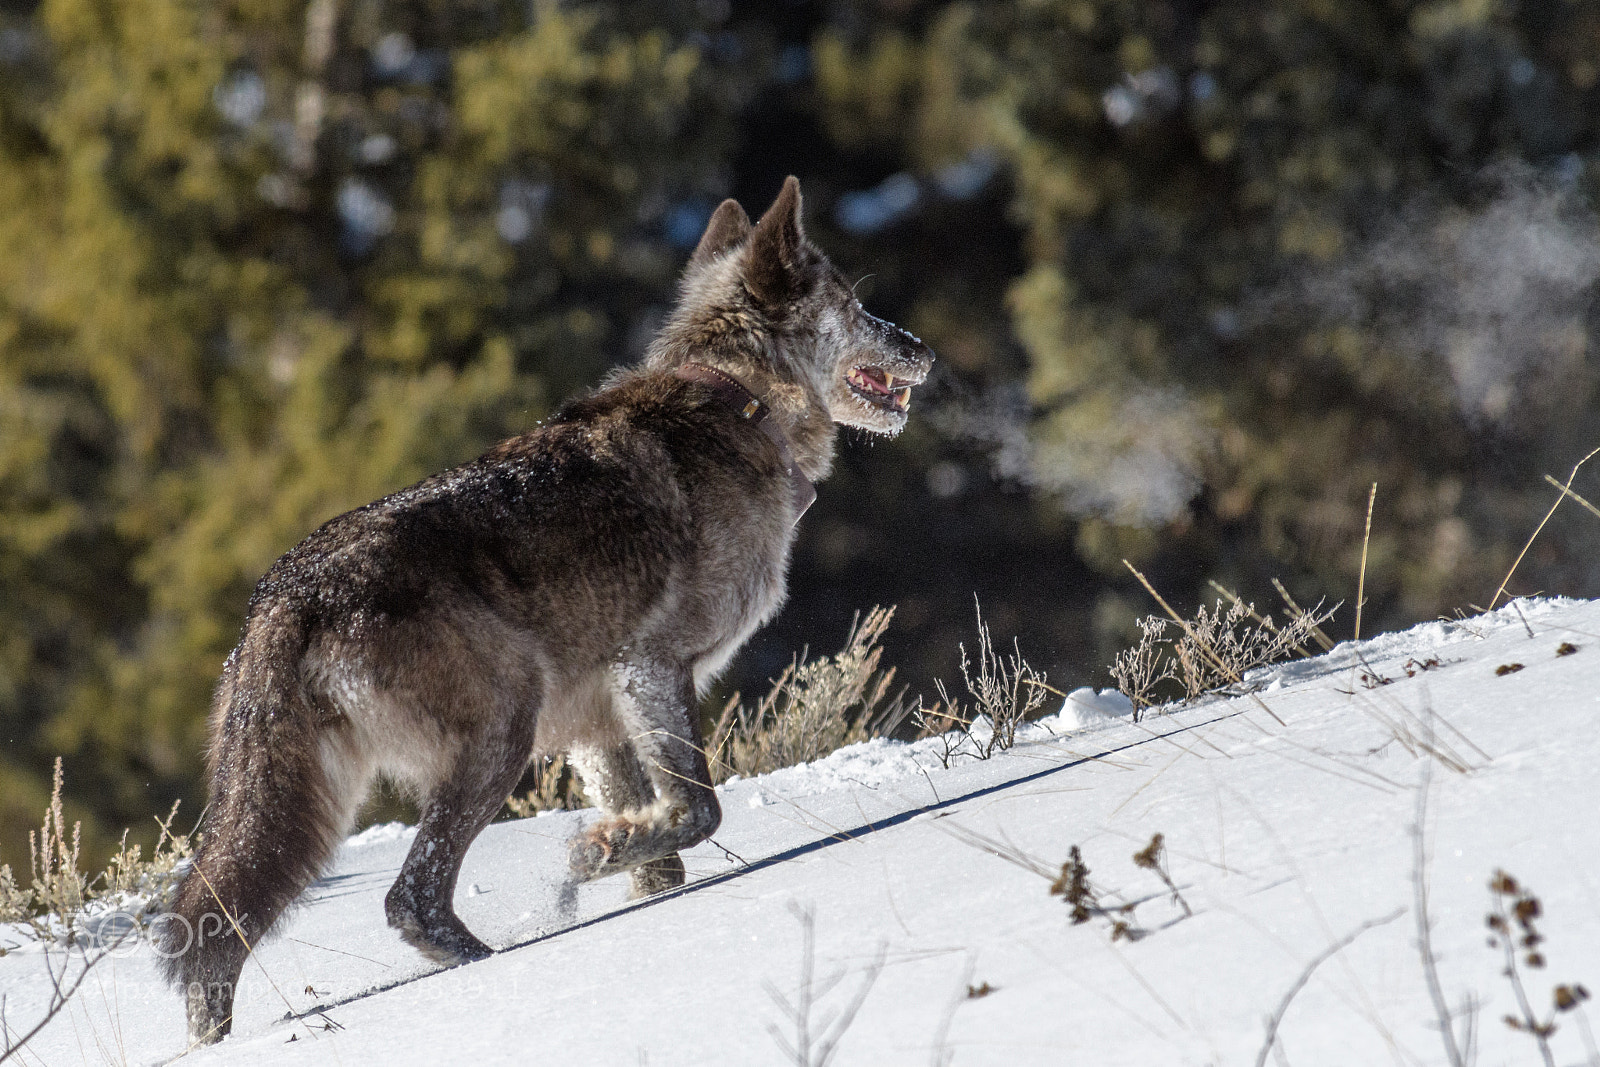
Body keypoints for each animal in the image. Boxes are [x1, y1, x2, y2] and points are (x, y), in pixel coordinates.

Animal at [158, 176, 933, 1045]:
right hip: (500, 730)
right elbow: (699, 808)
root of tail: (280, 598)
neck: (741, 405)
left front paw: (633, 877)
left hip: (322, 801)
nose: (922, 347)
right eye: (856, 306)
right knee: (409, 897)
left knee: (220, 919)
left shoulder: (599, 718)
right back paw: (489, 965)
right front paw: (594, 857)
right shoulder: (650, 665)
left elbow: (665, 851)